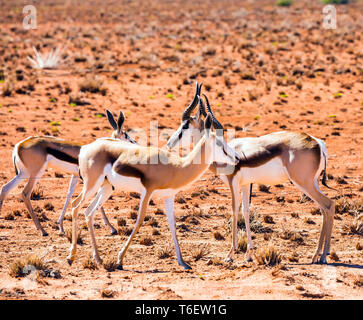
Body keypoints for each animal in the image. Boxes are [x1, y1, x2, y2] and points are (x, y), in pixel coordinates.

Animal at [0, 110, 136, 235]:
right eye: (128, 137)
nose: (136, 145)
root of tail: (18, 145)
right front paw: (112, 228)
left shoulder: (76, 176)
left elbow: (69, 195)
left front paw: (61, 227)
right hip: (35, 173)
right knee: (25, 193)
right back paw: (43, 230)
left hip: (23, 173)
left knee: (5, 188)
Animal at [66, 106, 242, 268]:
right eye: (219, 143)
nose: (237, 158)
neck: (176, 166)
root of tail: (86, 148)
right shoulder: (147, 192)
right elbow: (139, 221)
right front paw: (120, 259)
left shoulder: (168, 196)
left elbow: (172, 225)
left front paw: (183, 262)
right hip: (91, 185)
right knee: (75, 206)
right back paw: (71, 257)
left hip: (106, 188)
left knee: (89, 212)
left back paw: (98, 258)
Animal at [169, 83, 336, 264]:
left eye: (185, 125)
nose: (169, 143)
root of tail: (318, 143)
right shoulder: (246, 184)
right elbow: (246, 211)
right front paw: (248, 253)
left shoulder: (233, 182)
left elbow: (235, 210)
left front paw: (230, 254)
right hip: (313, 183)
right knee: (325, 208)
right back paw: (317, 254)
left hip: (304, 183)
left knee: (328, 205)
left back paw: (323, 256)